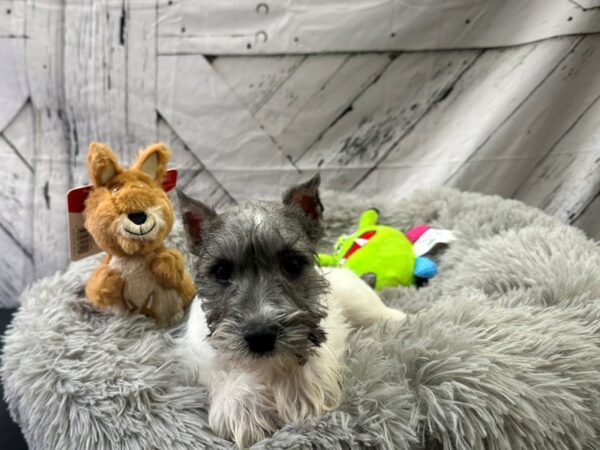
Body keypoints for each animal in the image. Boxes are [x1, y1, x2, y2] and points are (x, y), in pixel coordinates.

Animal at [176, 175, 406, 446]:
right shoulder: (195, 358)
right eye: (222, 271)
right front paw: (241, 406)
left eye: (292, 264)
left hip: (363, 305)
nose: (261, 336)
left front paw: (298, 389)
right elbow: (220, 371)